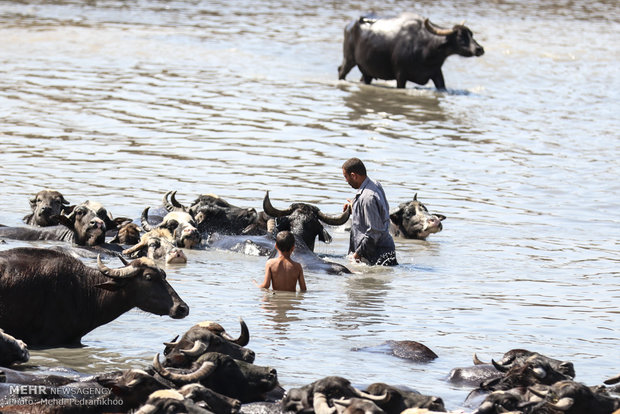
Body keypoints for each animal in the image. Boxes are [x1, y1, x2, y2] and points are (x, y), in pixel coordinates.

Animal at [340, 12, 484, 90]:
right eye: (460, 37)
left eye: (471, 34)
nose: (479, 49)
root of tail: (349, 25)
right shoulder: (401, 75)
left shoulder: (436, 73)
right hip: (349, 59)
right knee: (341, 71)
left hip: (367, 71)